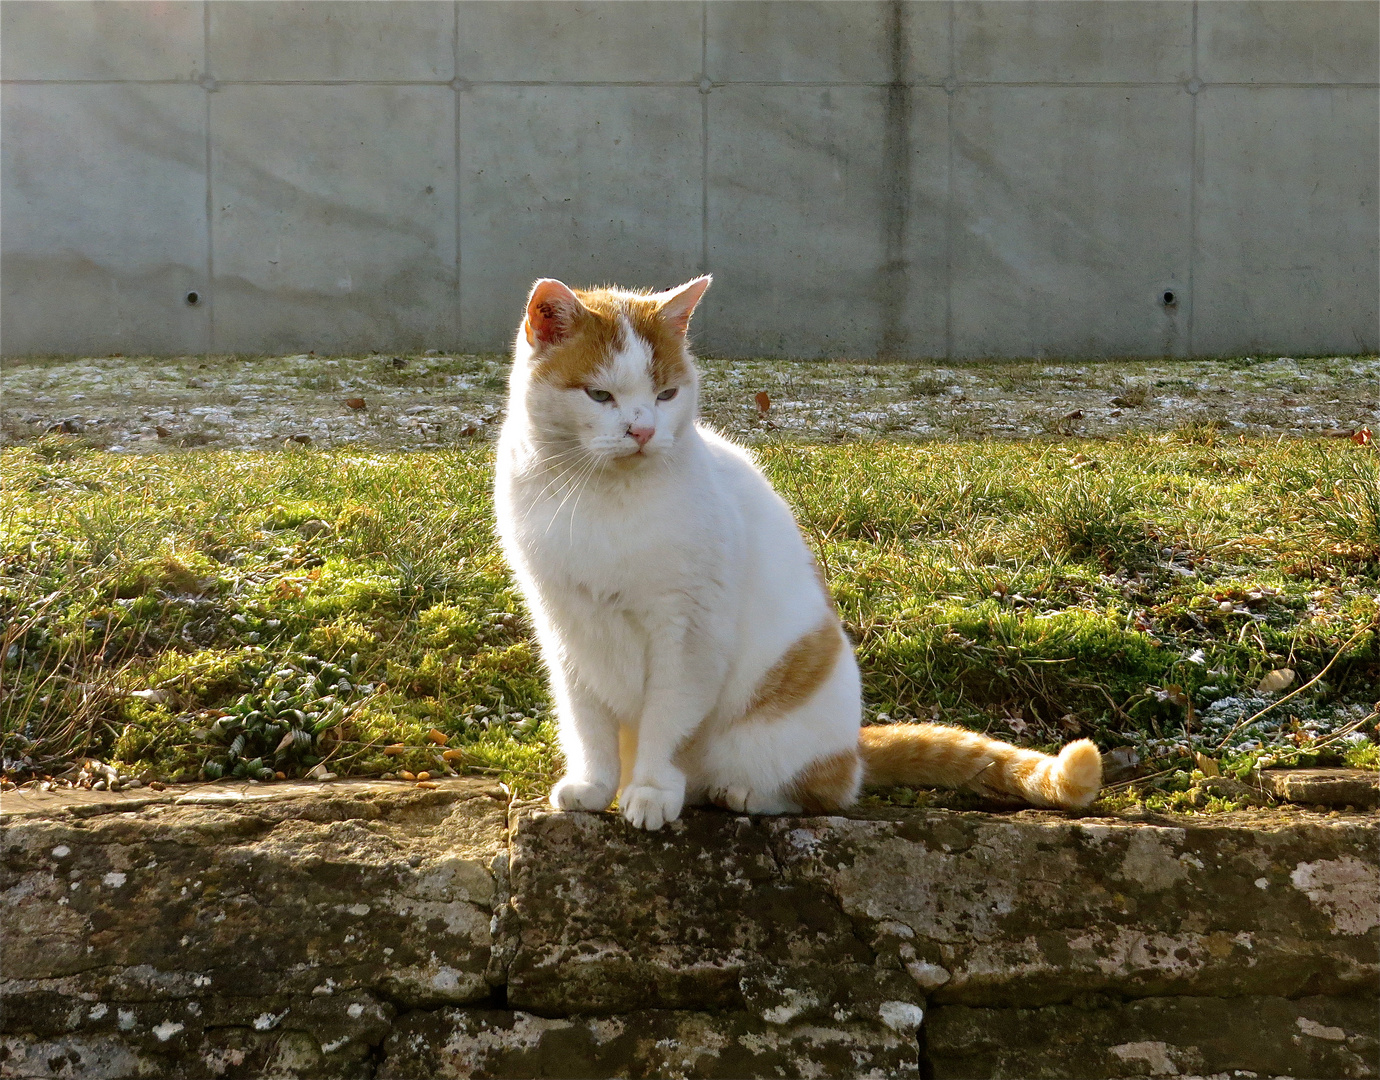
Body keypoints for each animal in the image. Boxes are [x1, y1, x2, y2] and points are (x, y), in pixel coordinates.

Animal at [494, 274, 1098, 833]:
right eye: (600, 396)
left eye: (666, 395)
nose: (643, 432)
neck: (600, 500)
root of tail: (853, 744)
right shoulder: (566, 629)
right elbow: (586, 724)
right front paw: (596, 786)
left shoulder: (688, 632)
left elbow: (667, 721)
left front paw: (650, 790)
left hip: (781, 730)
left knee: (828, 790)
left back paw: (741, 794)